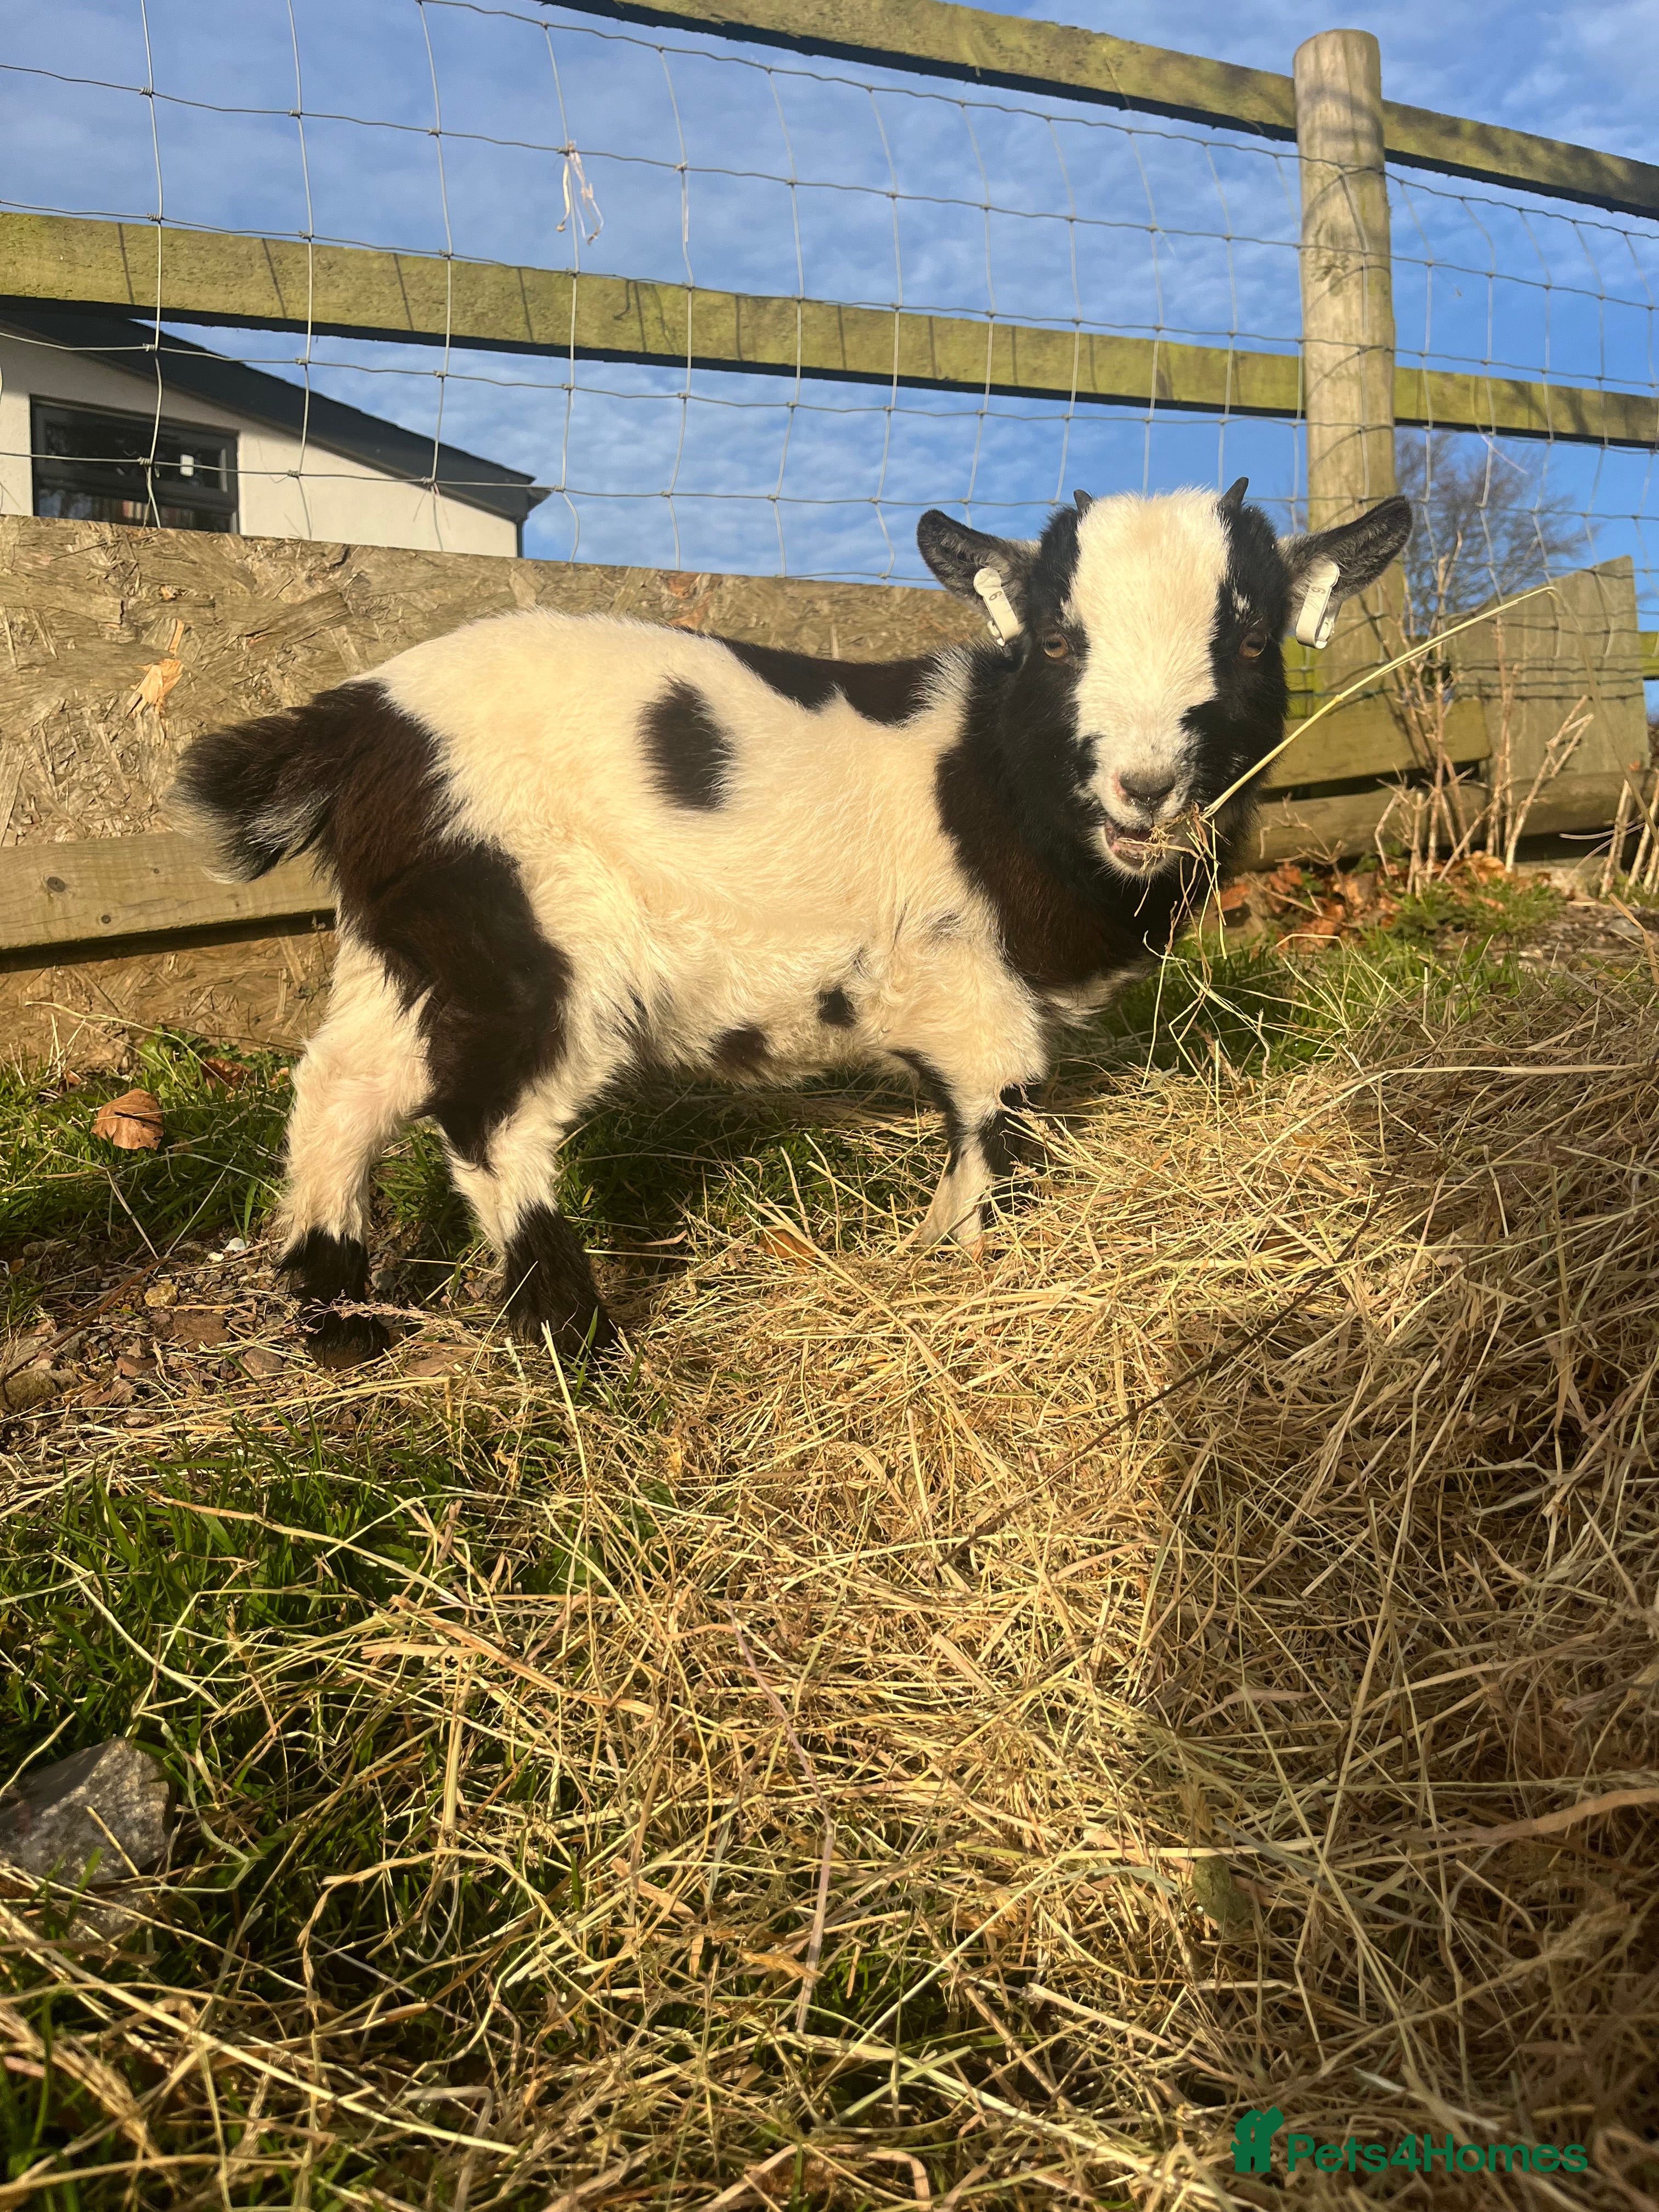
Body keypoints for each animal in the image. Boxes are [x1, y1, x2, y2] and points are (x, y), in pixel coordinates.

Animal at [173, 479, 1410, 1365]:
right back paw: (578, 1344)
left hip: (417, 935)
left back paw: (337, 1318)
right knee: (488, 1121)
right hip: (533, 929)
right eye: (1059, 643)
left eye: (1248, 643)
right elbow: (999, 1105)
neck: (1000, 778)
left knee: (343, 1082)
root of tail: (357, 724)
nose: (1144, 787)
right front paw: (965, 1261)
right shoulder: (958, 980)